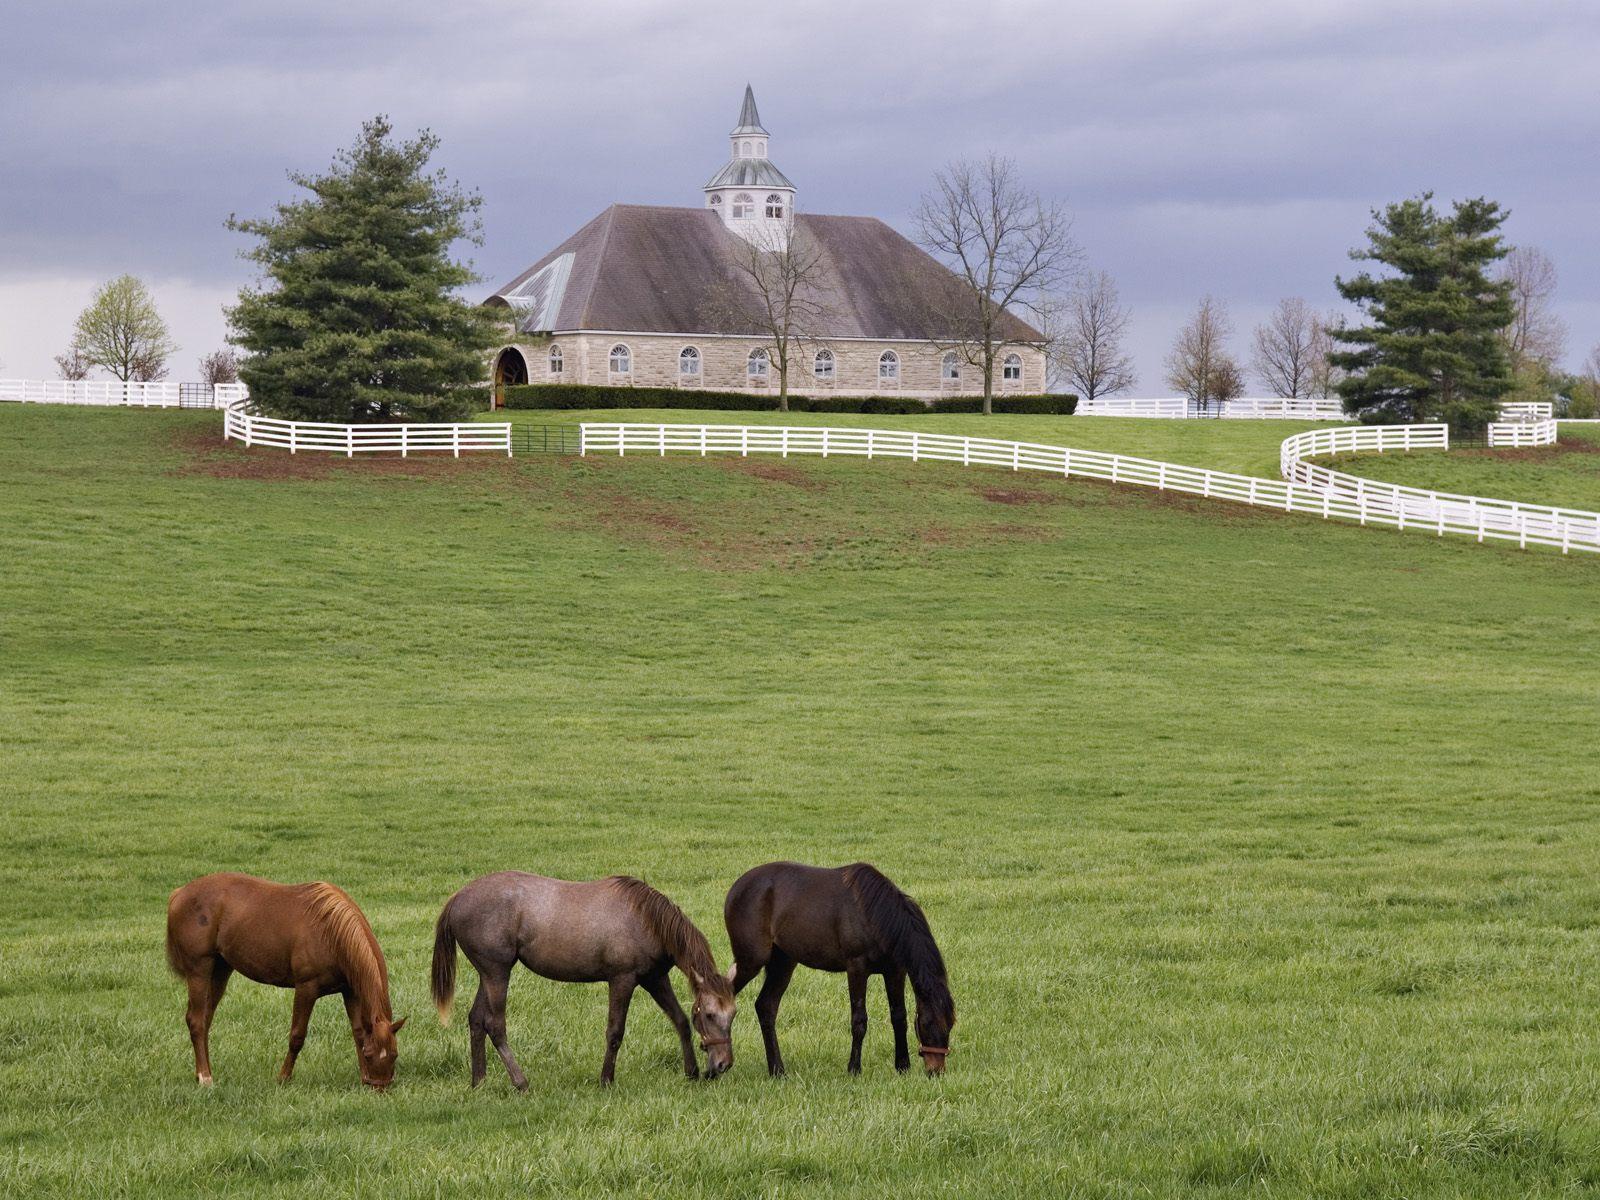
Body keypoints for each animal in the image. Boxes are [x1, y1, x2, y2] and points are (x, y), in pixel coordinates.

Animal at [165, 873, 405, 1088]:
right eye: (371, 1054)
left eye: (394, 1054)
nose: (379, 1087)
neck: (331, 932)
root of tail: (179, 894)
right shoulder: (306, 989)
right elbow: (297, 1035)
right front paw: (283, 1077)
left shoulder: (350, 991)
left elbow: (358, 1032)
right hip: (199, 970)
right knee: (196, 1020)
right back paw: (205, 1078)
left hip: (220, 971)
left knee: (205, 1019)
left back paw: (202, 1073)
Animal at [430, 872, 736, 1088]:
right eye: (709, 1014)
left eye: (733, 1014)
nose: (723, 1064)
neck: (646, 920)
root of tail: (457, 898)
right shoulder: (622, 980)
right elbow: (615, 1033)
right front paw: (606, 1080)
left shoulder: (655, 979)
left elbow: (680, 1021)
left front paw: (691, 1072)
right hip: (497, 973)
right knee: (495, 1025)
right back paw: (520, 1082)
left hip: (488, 974)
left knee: (476, 1020)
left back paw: (479, 1082)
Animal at [723, 861, 955, 1076]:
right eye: (927, 1023)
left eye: (950, 1024)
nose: (936, 1071)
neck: (875, 915)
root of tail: (737, 887)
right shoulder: (857, 968)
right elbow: (859, 1020)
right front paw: (854, 1069)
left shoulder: (895, 971)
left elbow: (899, 1016)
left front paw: (902, 1066)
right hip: (751, 961)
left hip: (783, 963)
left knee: (766, 1007)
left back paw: (777, 1070)